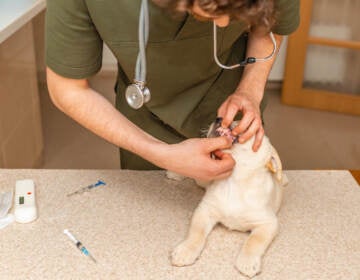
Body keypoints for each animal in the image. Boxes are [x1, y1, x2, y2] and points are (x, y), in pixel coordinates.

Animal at [167, 118, 288, 278]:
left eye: (245, 125)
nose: (218, 118)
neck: (234, 180)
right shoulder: (204, 211)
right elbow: (196, 233)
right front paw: (186, 250)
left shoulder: (268, 223)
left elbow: (254, 242)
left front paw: (248, 262)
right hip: (204, 178)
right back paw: (175, 173)